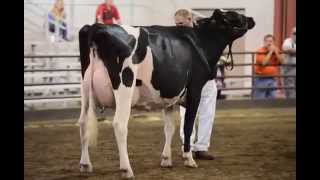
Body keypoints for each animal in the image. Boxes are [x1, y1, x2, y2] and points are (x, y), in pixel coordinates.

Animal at [77, 9, 255, 178]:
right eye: (233, 16)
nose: (251, 19)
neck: (201, 41)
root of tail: (97, 27)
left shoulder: (168, 96)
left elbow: (170, 127)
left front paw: (166, 159)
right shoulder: (195, 89)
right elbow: (188, 126)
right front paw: (189, 159)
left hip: (85, 89)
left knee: (83, 122)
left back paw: (85, 165)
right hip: (124, 86)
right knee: (119, 124)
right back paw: (126, 169)